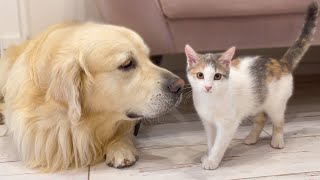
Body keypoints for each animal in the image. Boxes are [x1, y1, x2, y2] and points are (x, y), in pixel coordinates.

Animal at [185, 2, 318, 169]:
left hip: (276, 104)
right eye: (200, 75)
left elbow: (219, 143)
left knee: (278, 121)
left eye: (217, 76)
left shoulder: (228, 124)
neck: (211, 100)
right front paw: (209, 155)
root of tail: (281, 63)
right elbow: (211, 141)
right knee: (261, 119)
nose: (208, 87)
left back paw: (277, 140)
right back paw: (251, 138)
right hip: (254, 102)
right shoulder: (208, 122)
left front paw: (213, 160)